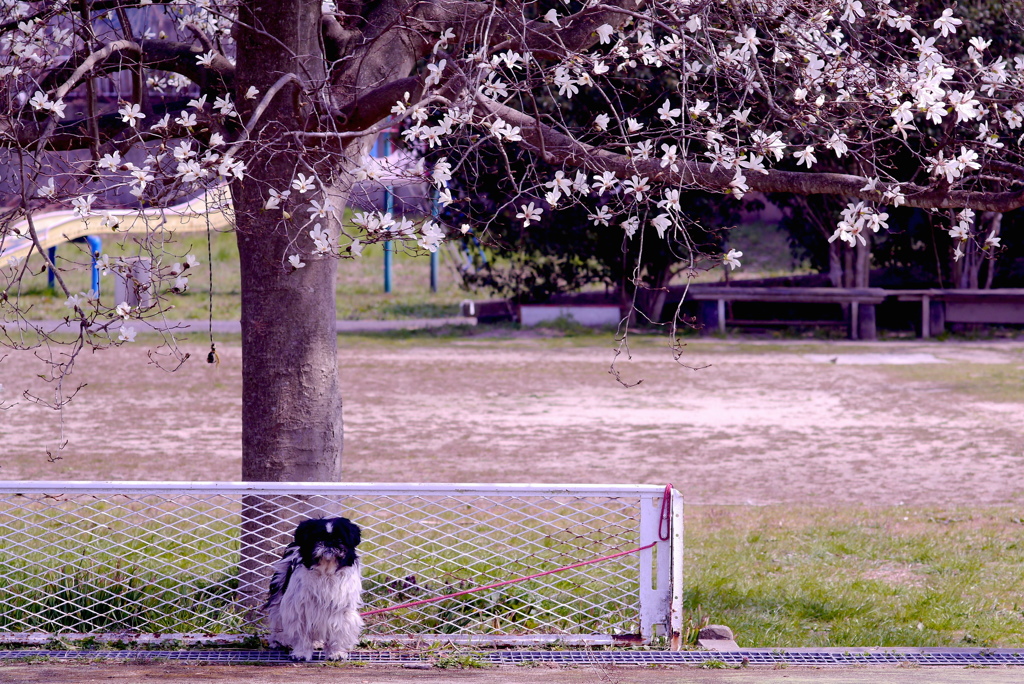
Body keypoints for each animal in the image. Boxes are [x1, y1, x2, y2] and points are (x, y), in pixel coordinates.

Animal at [264, 516, 364, 659]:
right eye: (317, 538)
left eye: (340, 540)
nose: (328, 542)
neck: (326, 574)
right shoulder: (299, 610)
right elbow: (301, 635)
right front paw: (301, 653)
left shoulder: (340, 611)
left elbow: (337, 631)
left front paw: (336, 653)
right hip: (279, 592)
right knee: (277, 618)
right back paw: (278, 641)